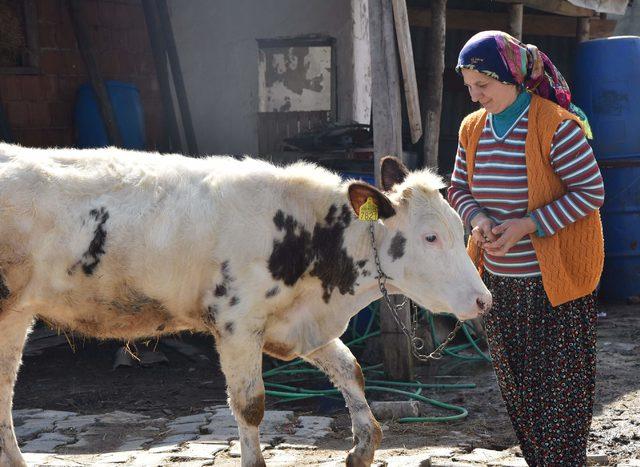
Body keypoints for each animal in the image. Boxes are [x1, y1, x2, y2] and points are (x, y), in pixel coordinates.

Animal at [0, 144, 492, 467]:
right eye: (431, 236)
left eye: (457, 226)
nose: (483, 300)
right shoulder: (237, 324)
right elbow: (251, 405)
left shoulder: (299, 324)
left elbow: (351, 370)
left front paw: (362, 447)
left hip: (17, 314)